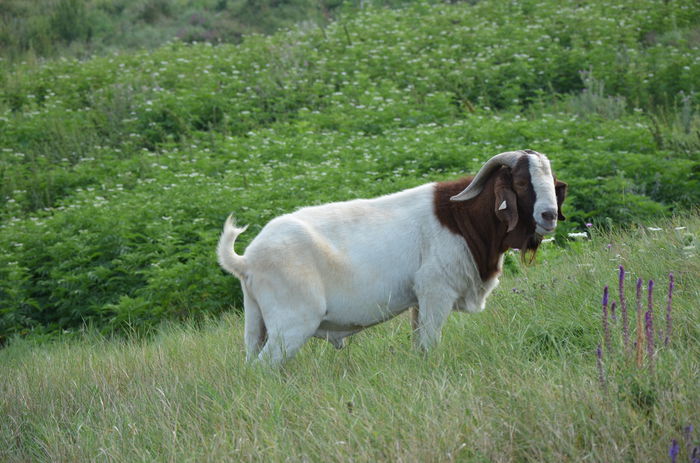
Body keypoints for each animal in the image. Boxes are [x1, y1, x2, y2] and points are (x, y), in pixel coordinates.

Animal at [219, 150, 568, 364]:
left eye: (552, 183)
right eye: (520, 181)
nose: (549, 216)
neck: (460, 218)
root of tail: (246, 261)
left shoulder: (419, 301)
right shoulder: (435, 292)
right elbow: (429, 344)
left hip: (256, 323)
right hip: (291, 325)